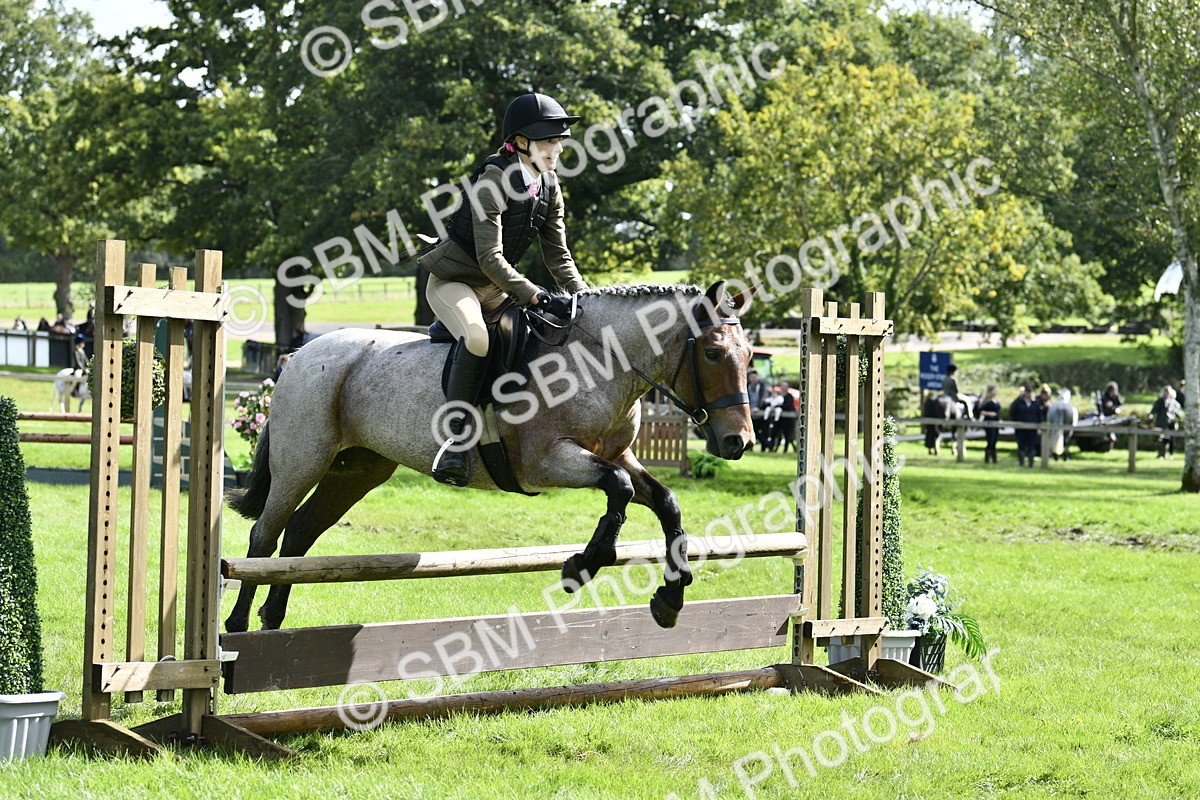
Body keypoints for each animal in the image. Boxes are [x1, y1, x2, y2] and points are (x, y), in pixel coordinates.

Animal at [224, 281, 757, 633]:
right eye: (712, 352)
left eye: (749, 354)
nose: (740, 442)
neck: (600, 362)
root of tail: (299, 355)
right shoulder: (546, 461)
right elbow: (619, 492)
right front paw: (581, 566)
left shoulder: (617, 455)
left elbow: (664, 501)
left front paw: (670, 598)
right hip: (301, 462)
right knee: (265, 535)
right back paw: (237, 623)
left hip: (356, 471)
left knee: (299, 534)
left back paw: (272, 618)